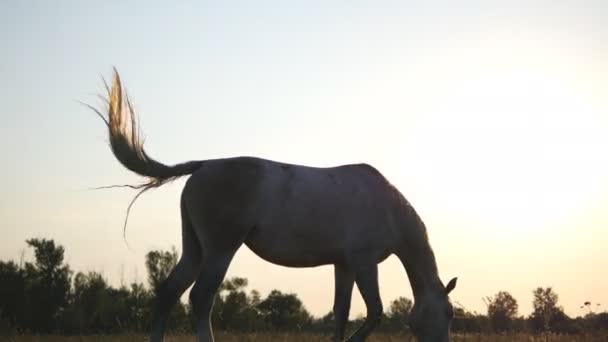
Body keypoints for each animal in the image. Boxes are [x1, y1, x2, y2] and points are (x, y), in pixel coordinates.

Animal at [89, 70, 456, 342]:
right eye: (450, 314)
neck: (388, 208)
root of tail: (204, 165)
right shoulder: (364, 264)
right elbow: (375, 311)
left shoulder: (344, 265)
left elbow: (341, 312)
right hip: (221, 249)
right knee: (201, 298)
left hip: (194, 248)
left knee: (168, 293)